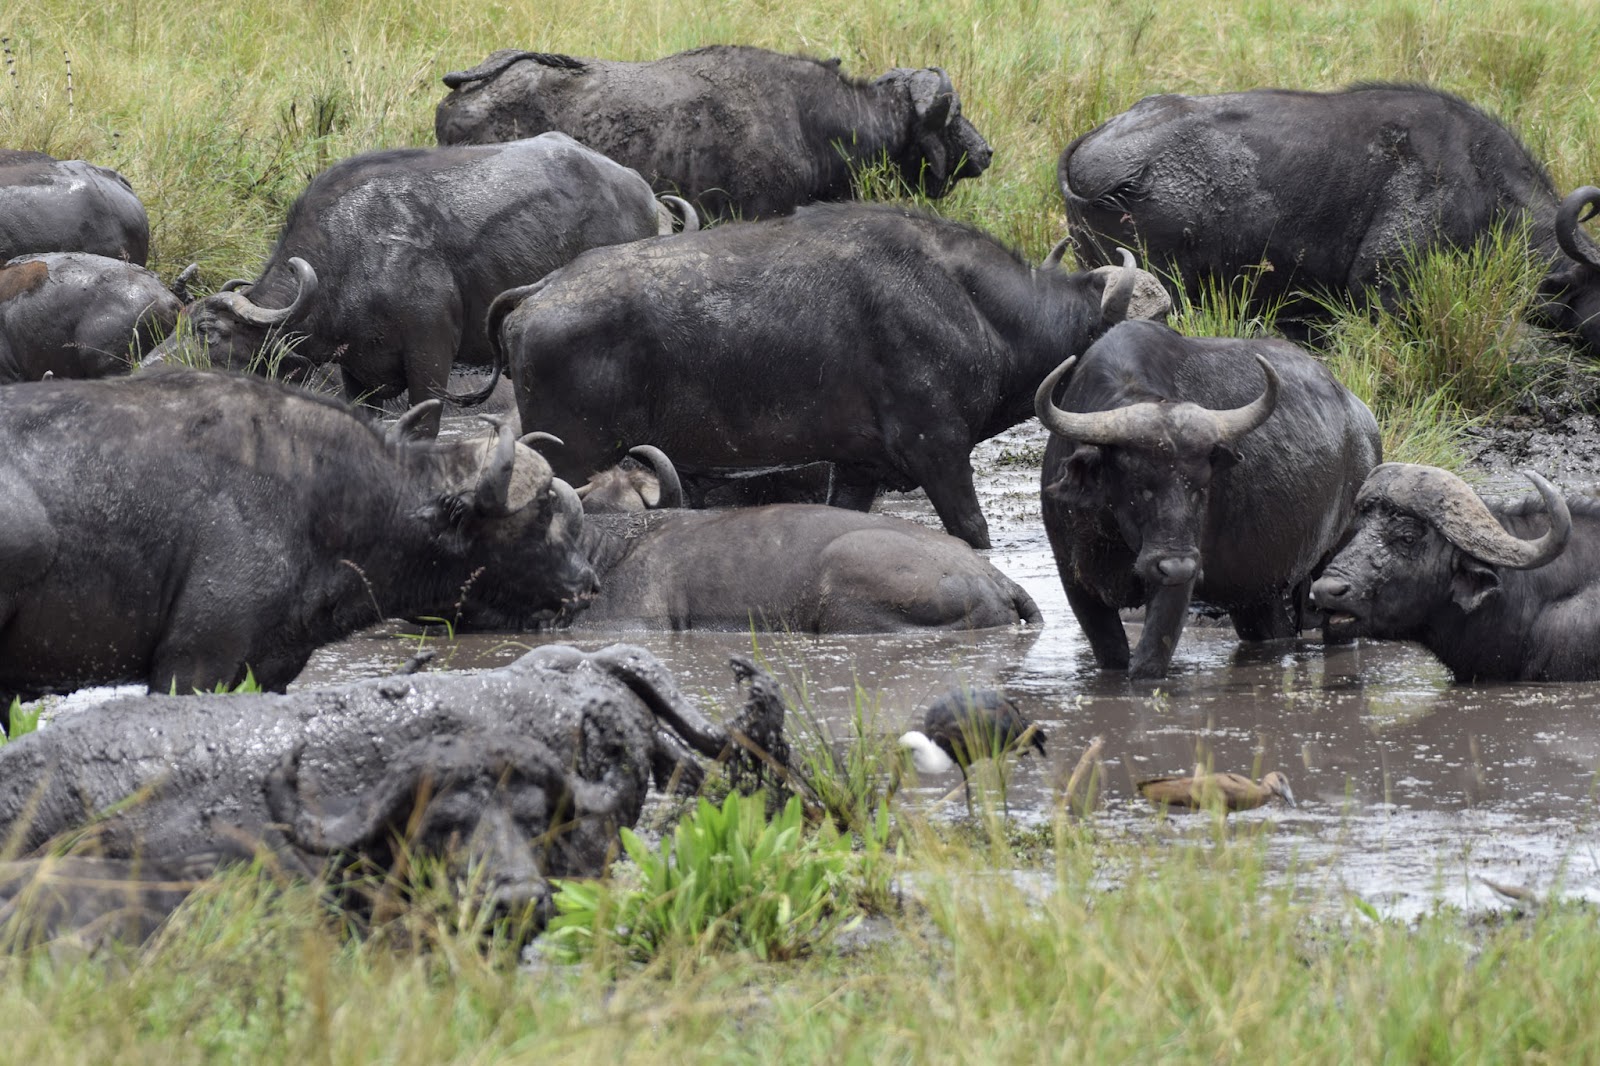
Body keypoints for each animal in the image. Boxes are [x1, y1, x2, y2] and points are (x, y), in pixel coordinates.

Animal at [147, 133, 694, 405]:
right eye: (178, 324)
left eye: (210, 332)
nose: (148, 367)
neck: (346, 267)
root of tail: (643, 194)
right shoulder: (358, 378)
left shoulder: (430, 362)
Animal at [492, 202, 1171, 549]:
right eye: (1151, 325)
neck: (971, 305)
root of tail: (541, 291)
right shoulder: (939, 452)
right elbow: (972, 532)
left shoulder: (857, 469)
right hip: (574, 454)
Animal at [1037, 319, 1382, 678]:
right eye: (1139, 486)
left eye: (1200, 488)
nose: (1177, 564)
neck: (1112, 536)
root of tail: (1363, 420)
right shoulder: (1075, 582)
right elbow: (1112, 656)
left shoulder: (1176, 583)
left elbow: (1148, 662)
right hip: (1257, 592)